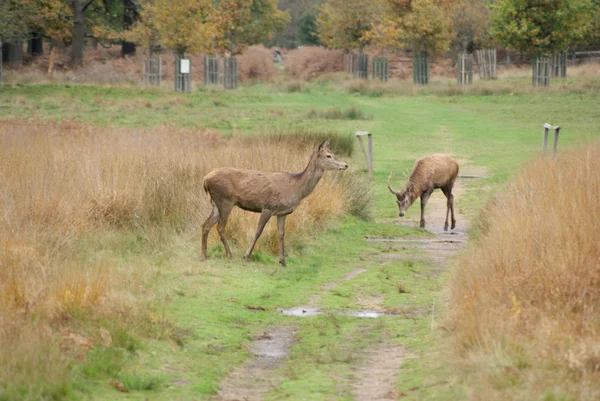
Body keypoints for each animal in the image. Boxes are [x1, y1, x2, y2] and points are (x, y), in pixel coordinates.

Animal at [199, 139, 350, 268]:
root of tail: (205, 180)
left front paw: (282, 261)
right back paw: (229, 255)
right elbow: (258, 231)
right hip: (225, 200)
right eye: (329, 155)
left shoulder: (282, 212)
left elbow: (281, 234)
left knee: (206, 225)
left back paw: (204, 256)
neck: (296, 188)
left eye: (333, 153)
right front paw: (247, 255)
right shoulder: (268, 207)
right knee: (220, 227)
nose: (345, 165)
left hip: (216, 203)